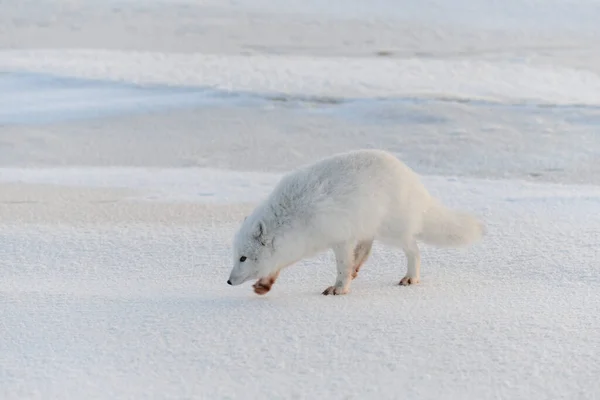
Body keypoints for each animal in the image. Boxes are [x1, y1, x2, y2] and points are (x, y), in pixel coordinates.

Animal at [227, 148, 486, 296]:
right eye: (236, 256)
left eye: (243, 258)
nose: (228, 281)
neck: (292, 215)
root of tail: (414, 181)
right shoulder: (300, 244)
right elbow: (279, 264)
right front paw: (265, 284)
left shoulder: (340, 238)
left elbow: (341, 266)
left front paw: (340, 288)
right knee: (367, 248)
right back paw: (358, 269)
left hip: (391, 231)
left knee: (414, 249)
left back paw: (410, 277)